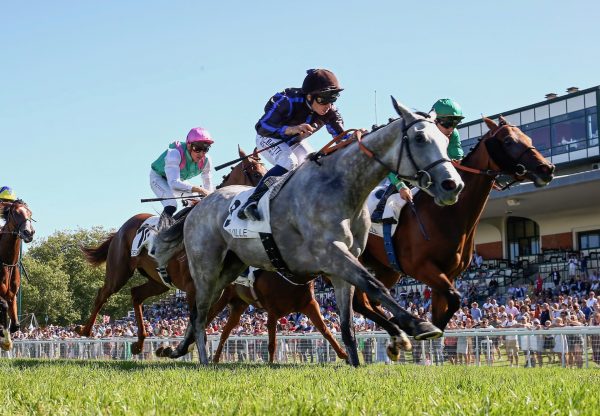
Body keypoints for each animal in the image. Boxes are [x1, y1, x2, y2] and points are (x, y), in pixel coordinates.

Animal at [77, 148, 264, 352]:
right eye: (255, 173)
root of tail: (121, 230)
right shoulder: (192, 288)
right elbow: (198, 325)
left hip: (158, 281)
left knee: (136, 294)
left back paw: (139, 343)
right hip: (119, 272)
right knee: (102, 293)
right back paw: (84, 330)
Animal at [154, 97, 464, 364]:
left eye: (445, 139)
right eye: (420, 138)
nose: (453, 185)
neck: (342, 186)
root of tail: (198, 206)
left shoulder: (342, 265)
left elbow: (347, 324)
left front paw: (359, 360)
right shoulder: (332, 253)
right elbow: (374, 285)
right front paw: (418, 325)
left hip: (229, 270)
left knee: (200, 314)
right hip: (206, 269)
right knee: (199, 315)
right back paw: (203, 361)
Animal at [354, 114, 556, 342]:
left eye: (528, 137)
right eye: (508, 141)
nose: (546, 168)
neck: (445, 214)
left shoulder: (447, 275)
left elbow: (443, 312)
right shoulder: (421, 267)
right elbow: (455, 298)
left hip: (387, 269)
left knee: (369, 300)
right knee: (361, 302)